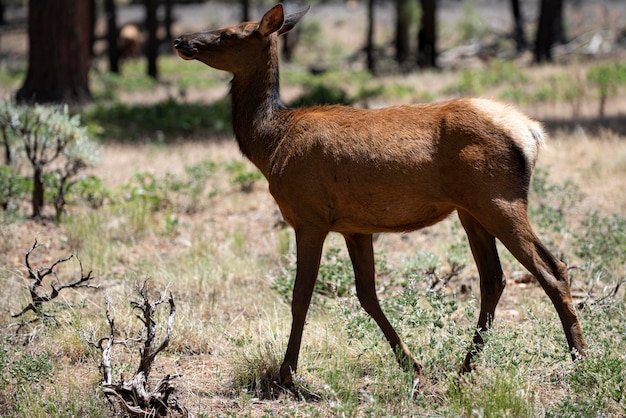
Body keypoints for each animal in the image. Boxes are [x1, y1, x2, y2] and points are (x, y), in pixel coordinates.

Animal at [174, 4, 584, 388]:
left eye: (228, 33)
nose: (181, 40)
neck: (271, 146)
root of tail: (530, 133)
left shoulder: (309, 216)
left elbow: (301, 296)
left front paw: (287, 373)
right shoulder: (355, 225)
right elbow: (367, 293)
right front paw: (412, 365)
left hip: (499, 199)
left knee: (552, 269)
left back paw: (581, 360)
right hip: (472, 209)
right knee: (493, 279)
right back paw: (466, 367)